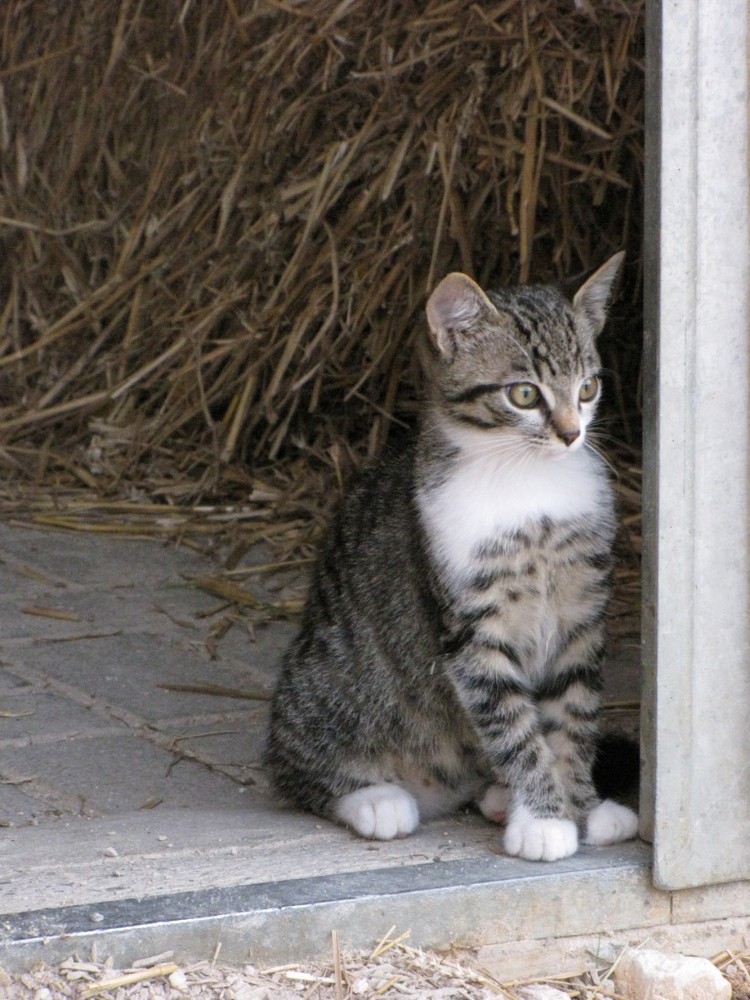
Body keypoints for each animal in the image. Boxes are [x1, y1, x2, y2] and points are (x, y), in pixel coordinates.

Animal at [266, 254, 640, 864]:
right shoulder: (471, 629)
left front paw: (582, 806)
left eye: (587, 387)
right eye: (524, 395)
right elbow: (514, 727)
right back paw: (375, 799)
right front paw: (545, 818)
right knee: (296, 766)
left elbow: (573, 716)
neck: (525, 483)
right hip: (327, 686)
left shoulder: (582, 613)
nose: (571, 434)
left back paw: (496, 797)